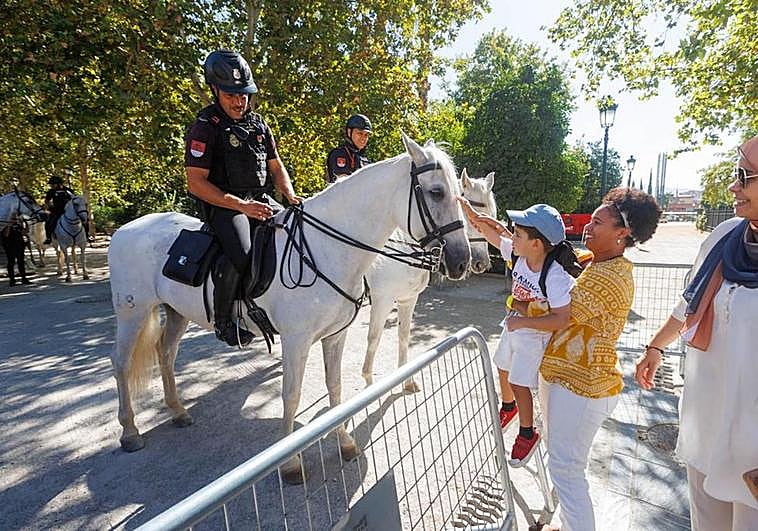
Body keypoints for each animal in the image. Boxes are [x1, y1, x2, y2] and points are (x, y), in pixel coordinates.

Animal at [107, 133, 470, 482]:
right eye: (436, 192)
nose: (462, 260)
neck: (325, 249)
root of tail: (127, 228)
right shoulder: (298, 340)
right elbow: (291, 395)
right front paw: (291, 463)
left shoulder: (337, 335)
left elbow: (336, 387)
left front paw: (345, 442)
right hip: (132, 312)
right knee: (121, 362)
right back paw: (130, 431)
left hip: (176, 311)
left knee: (165, 353)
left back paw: (178, 411)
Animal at [361, 169, 496, 391]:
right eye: (476, 218)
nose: (481, 263)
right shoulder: (383, 300)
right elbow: (374, 338)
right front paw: (370, 384)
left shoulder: (408, 299)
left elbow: (404, 335)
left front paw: (407, 381)